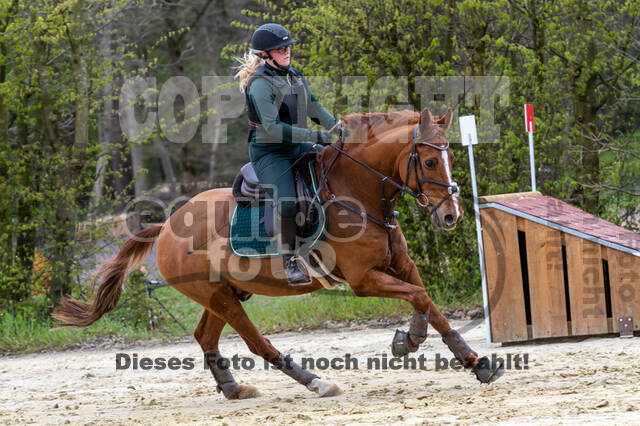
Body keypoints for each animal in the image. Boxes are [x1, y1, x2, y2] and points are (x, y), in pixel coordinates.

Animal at [52, 106, 504, 400]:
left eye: (450, 157)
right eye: (428, 162)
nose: (450, 215)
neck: (358, 194)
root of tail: (165, 226)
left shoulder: (400, 265)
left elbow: (429, 303)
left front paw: (469, 360)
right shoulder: (364, 280)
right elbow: (421, 297)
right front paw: (411, 341)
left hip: (223, 293)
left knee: (205, 336)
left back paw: (233, 388)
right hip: (219, 296)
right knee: (257, 343)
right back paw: (315, 382)